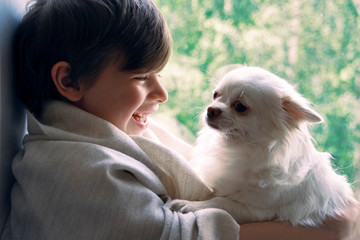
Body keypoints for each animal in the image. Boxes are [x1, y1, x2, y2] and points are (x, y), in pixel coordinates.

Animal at [172, 66, 358, 227]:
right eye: (215, 95)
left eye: (240, 106)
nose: (211, 109)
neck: (240, 149)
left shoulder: (255, 210)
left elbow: (221, 202)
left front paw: (191, 205)